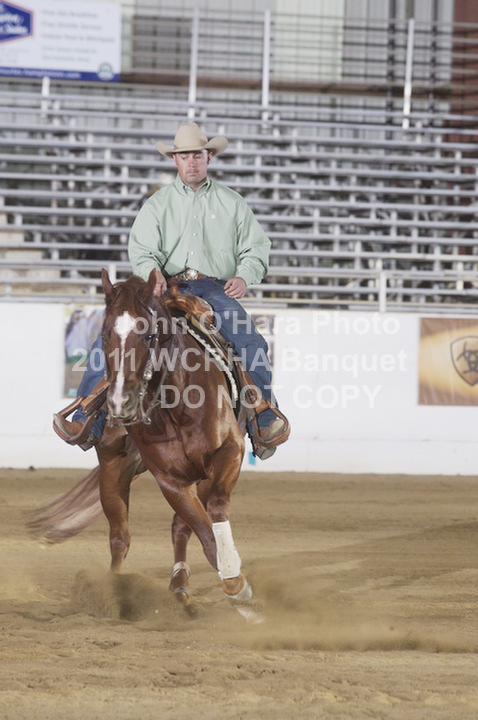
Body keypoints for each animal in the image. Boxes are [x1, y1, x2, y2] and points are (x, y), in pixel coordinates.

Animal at [30, 269, 262, 622]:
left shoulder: (228, 451)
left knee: (180, 526)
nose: (119, 402)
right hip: (114, 468)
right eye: (104, 335)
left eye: (149, 335)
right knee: (120, 537)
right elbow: (205, 533)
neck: (177, 403)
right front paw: (237, 587)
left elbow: (215, 511)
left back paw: (180, 584)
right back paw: (119, 593)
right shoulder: (170, 479)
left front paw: (237, 585)